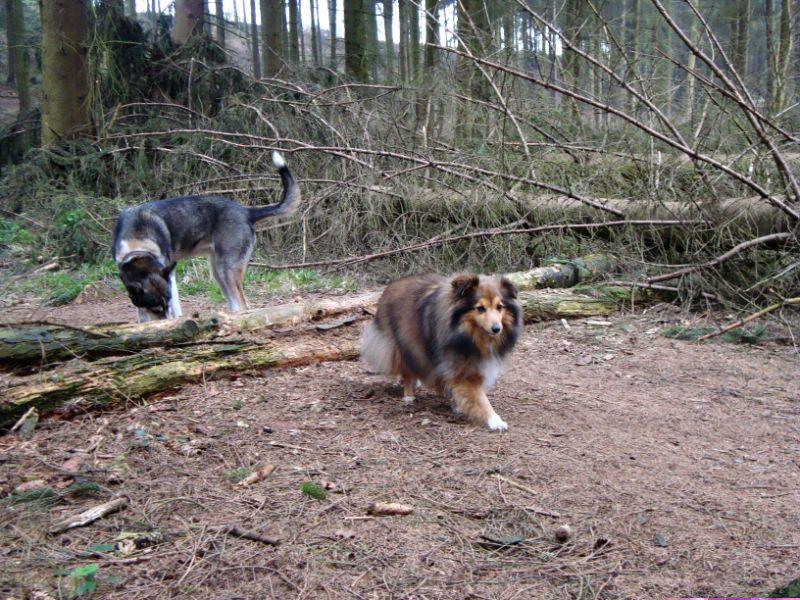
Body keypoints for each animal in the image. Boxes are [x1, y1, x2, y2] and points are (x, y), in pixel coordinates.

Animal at [112, 152, 300, 322]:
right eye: (156, 308)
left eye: (167, 304)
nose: (166, 323)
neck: (137, 241)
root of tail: (246, 211)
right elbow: (142, 315)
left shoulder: (170, 280)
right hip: (218, 272)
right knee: (235, 305)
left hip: (227, 269)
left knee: (243, 305)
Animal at [360, 272, 520, 432]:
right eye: (480, 308)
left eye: (499, 307)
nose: (497, 329)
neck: (466, 333)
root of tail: (391, 286)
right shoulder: (461, 368)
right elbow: (480, 398)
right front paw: (495, 421)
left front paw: (458, 405)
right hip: (404, 345)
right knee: (406, 371)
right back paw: (409, 395)